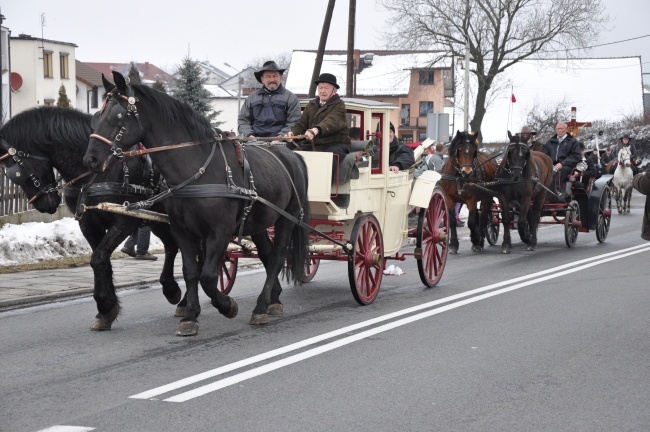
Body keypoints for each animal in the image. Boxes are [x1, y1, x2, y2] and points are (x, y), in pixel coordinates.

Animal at [0, 106, 182, 330]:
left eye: (15, 172)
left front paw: (105, 304)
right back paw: (172, 290)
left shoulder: (125, 219)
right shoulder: (88, 222)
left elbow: (98, 258)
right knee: (172, 246)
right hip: (157, 219)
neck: (99, 170)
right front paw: (106, 310)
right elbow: (100, 259)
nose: (42, 204)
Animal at [82, 71, 310, 336]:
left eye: (117, 115)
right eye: (98, 114)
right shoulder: (182, 230)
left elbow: (208, 276)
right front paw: (190, 316)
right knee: (267, 253)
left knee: (276, 258)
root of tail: (291, 154)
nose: (91, 159)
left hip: (286, 219)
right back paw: (273, 300)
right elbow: (191, 272)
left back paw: (261, 307)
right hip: (259, 222)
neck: (198, 168)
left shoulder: (219, 232)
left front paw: (226, 305)